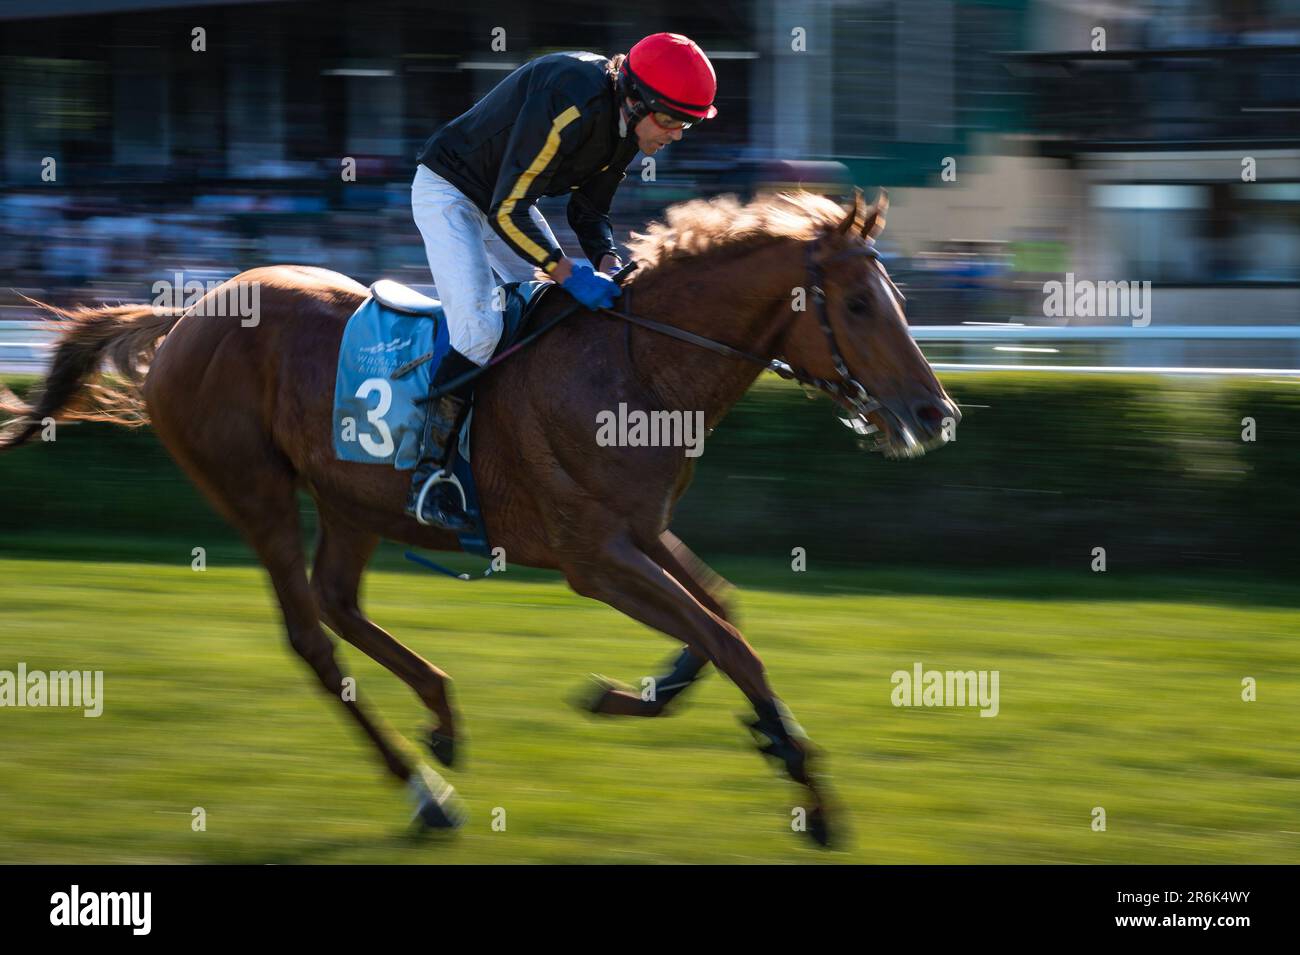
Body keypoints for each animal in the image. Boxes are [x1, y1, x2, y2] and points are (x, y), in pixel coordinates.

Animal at [0, 191, 956, 847]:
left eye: (898, 296)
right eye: (860, 304)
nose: (934, 411)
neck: (637, 364)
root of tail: (184, 313)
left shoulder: (641, 529)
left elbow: (719, 613)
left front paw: (645, 696)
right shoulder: (592, 556)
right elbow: (732, 643)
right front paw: (809, 791)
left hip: (352, 497)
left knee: (339, 601)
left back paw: (442, 716)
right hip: (254, 489)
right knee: (311, 634)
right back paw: (424, 791)